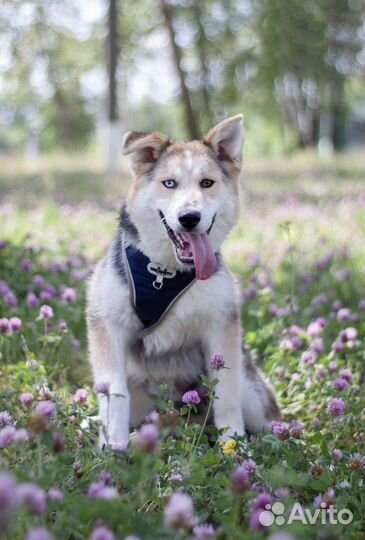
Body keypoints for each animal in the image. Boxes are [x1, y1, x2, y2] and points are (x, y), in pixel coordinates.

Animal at [86, 115, 278, 448]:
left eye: (207, 183)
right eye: (169, 183)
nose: (189, 218)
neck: (165, 272)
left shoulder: (221, 327)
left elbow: (227, 395)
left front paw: (234, 446)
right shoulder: (107, 325)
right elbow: (115, 395)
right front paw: (114, 447)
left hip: (250, 388)